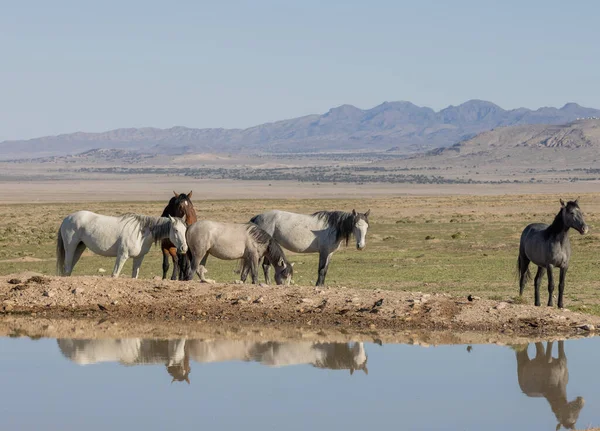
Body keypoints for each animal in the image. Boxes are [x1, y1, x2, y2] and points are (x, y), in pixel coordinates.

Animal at [56, 211, 188, 278]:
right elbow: (115, 274)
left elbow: (134, 275)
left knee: (68, 270)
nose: (184, 248)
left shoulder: (139, 258)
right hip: (70, 248)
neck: (141, 233)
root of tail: (66, 219)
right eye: (176, 230)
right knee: (67, 267)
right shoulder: (122, 256)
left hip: (79, 248)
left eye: (185, 229)